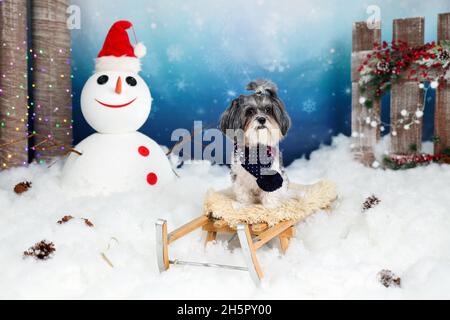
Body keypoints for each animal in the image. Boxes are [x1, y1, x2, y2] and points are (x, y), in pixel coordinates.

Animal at [219, 80, 290, 208]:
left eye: (268, 110)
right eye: (250, 111)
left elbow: (270, 193)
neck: (256, 149)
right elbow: (243, 194)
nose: (262, 119)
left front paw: (270, 207)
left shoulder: (273, 175)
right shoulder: (239, 178)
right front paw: (244, 205)